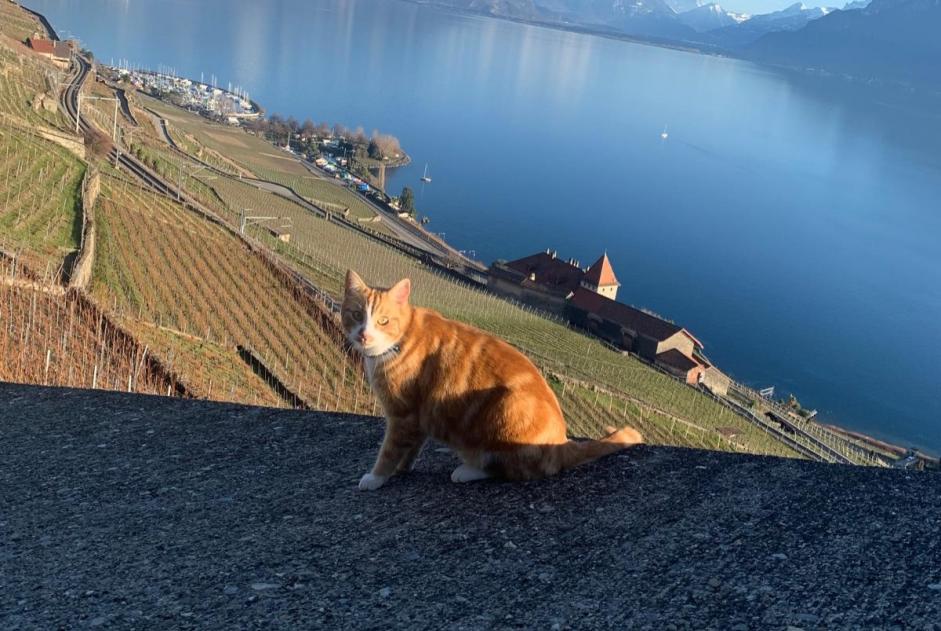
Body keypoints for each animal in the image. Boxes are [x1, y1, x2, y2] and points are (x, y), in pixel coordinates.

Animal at [342, 270, 644, 492]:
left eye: (383, 321)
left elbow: (390, 450)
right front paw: (403, 468)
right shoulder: (420, 414)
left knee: (512, 469)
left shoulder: (403, 415)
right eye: (356, 315)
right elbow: (412, 447)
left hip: (507, 406)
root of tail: (562, 443)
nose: (364, 335)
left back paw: (467, 470)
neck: (398, 342)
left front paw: (376, 477)